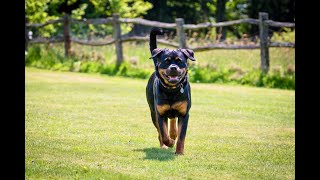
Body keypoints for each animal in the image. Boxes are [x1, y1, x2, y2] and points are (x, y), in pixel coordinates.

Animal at [146, 27, 195, 155]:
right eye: (166, 61)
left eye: (180, 61)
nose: (173, 68)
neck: (172, 90)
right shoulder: (160, 114)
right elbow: (163, 133)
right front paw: (169, 142)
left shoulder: (184, 114)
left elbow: (182, 136)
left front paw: (179, 151)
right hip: (152, 112)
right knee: (160, 131)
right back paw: (165, 144)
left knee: (173, 120)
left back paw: (173, 133)